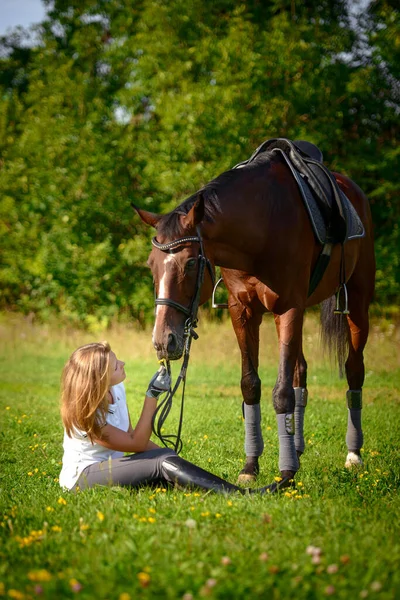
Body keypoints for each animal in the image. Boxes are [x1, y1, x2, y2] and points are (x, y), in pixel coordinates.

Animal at [134, 143, 376, 490]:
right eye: (151, 265)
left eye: (191, 263)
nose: (163, 341)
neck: (260, 229)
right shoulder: (243, 312)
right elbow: (251, 386)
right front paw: (251, 465)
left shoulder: (288, 308)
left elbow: (281, 393)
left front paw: (286, 474)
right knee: (300, 371)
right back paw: (297, 447)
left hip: (356, 301)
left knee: (354, 371)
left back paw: (353, 454)